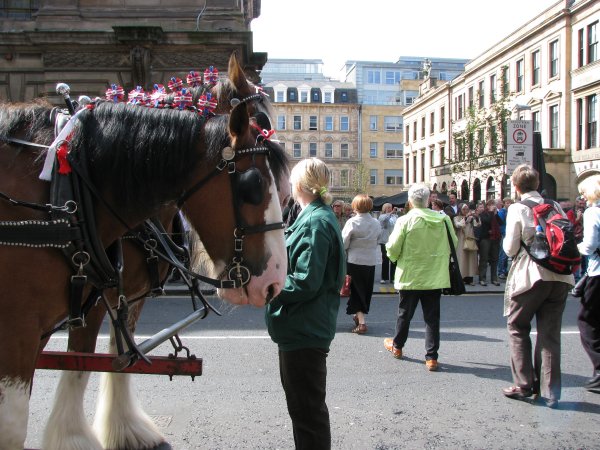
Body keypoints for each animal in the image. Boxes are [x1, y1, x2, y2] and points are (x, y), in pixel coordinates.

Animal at [0, 66, 288, 446]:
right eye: (252, 185)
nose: (273, 282)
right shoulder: (27, 323)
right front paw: (75, 437)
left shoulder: (113, 298)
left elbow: (115, 356)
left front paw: (121, 428)